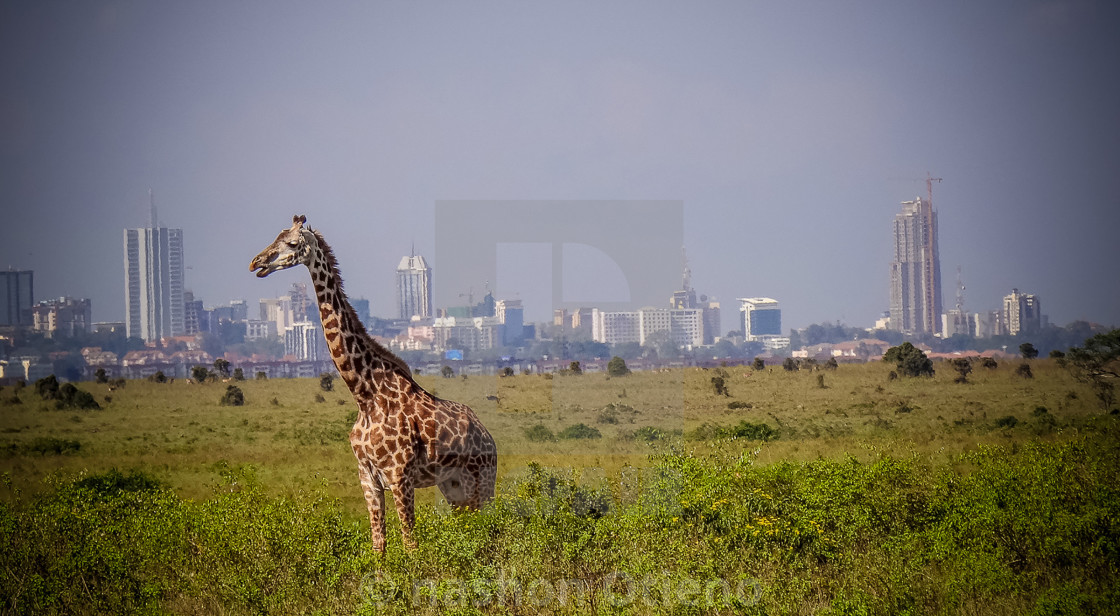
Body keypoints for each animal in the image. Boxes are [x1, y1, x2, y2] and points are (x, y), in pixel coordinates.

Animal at [256, 216, 501, 551]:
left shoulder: (399, 476)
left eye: (292, 243)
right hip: (454, 488)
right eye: (275, 237)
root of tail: (488, 436)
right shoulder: (367, 478)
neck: (365, 395)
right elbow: (378, 546)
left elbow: (410, 544)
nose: (257, 263)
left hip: (482, 482)